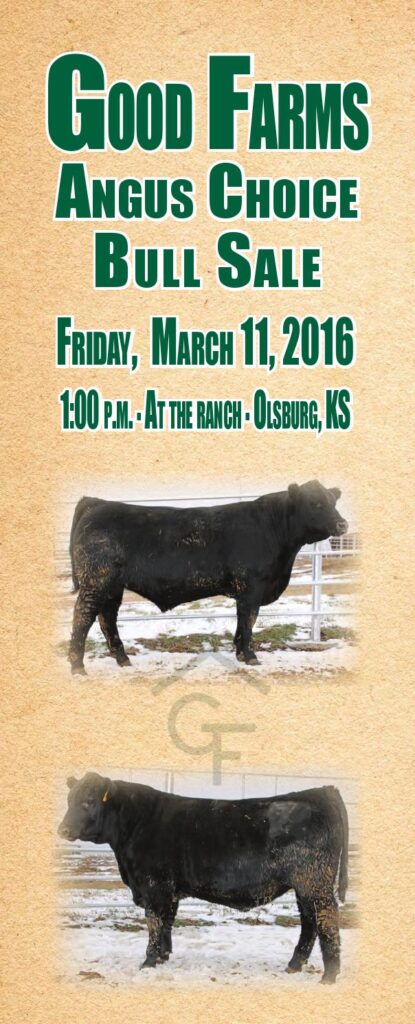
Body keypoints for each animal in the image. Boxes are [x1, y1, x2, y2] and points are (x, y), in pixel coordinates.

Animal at [58, 774, 349, 983]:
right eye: (69, 800)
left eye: (89, 801)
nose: (63, 829)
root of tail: (320, 791)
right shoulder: (169, 890)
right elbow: (167, 922)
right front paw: (163, 957)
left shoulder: (154, 887)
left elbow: (154, 923)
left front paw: (149, 962)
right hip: (304, 886)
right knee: (309, 921)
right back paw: (294, 965)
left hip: (314, 882)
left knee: (326, 919)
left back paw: (329, 975)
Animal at [68, 480, 348, 674]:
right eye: (315, 503)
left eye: (333, 502)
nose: (343, 524)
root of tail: (96, 503)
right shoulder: (252, 588)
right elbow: (248, 622)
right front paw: (251, 657)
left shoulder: (245, 592)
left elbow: (241, 622)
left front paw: (240, 654)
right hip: (96, 581)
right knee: (83, 618)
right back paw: (78, 667)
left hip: (113, 586)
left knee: (107, 619)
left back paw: (122, 659)